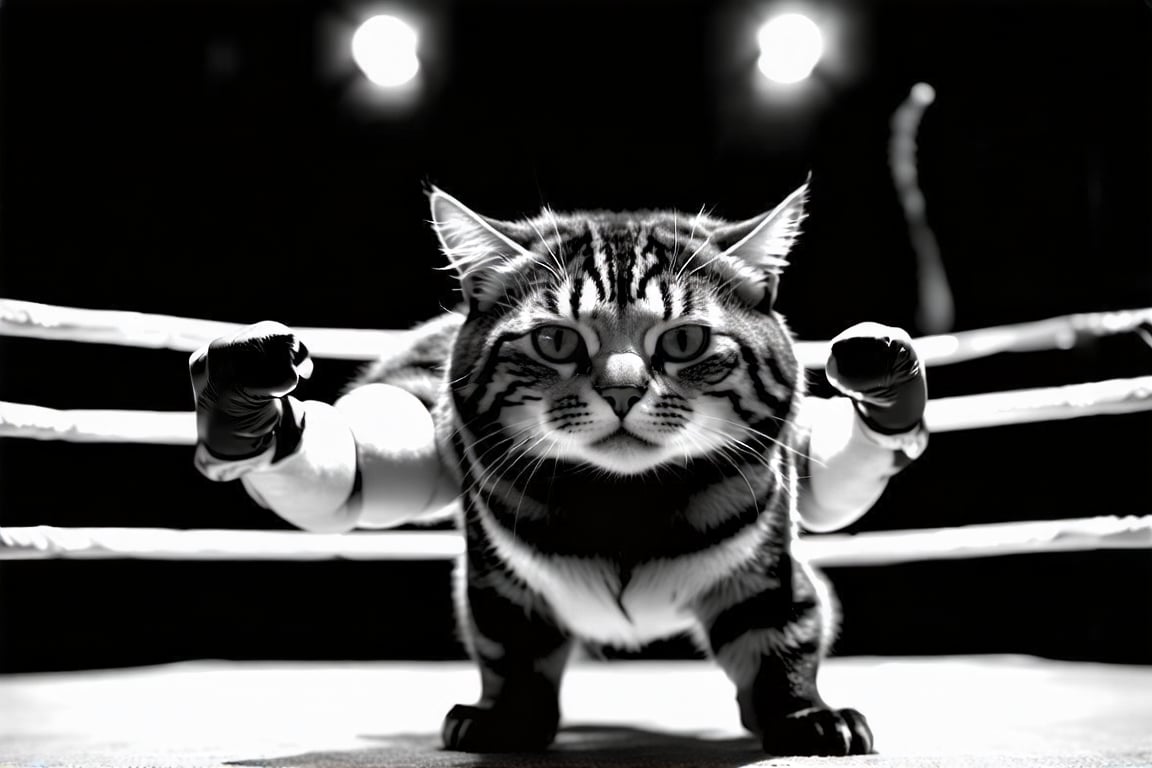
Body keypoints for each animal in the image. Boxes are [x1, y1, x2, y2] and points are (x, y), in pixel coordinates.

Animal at [354, 184, 866, 755]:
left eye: (684, 341)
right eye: (555, 341)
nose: (622, 392)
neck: (623, 504)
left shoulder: (768, 567)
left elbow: (782, 638)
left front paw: (806, 716)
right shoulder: (499, 577)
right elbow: (510, 646)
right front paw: (506, 720)